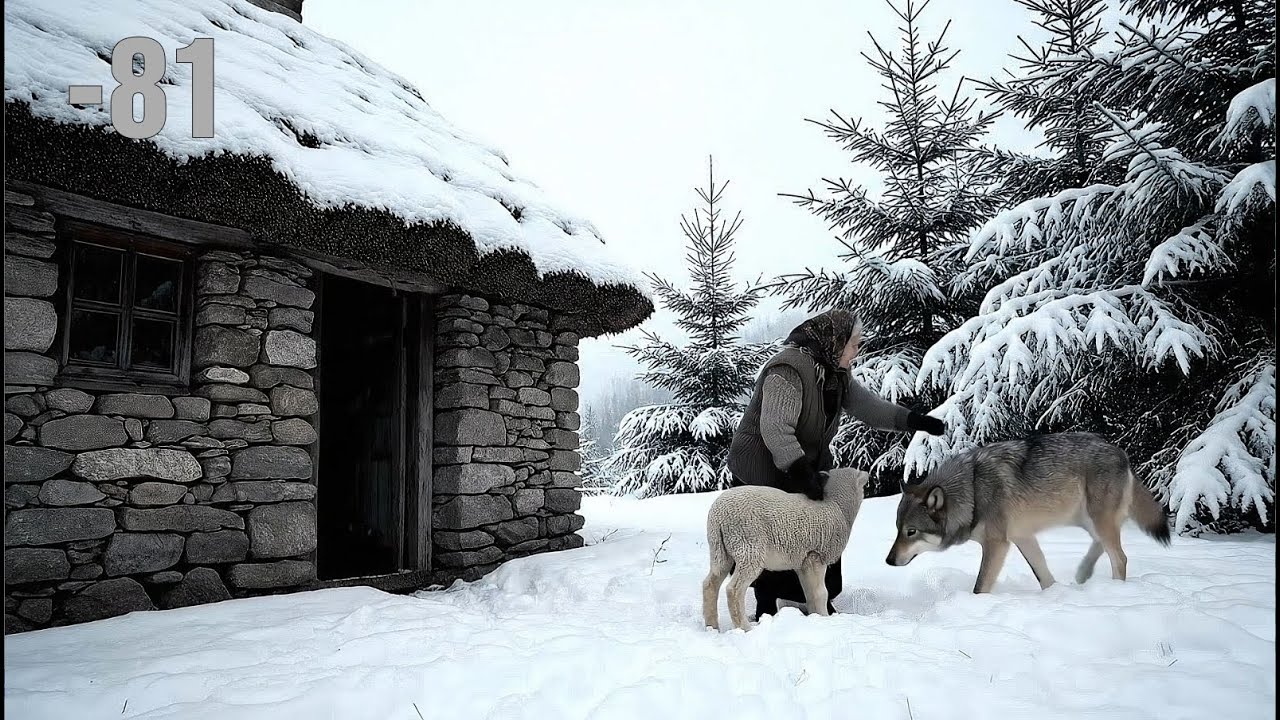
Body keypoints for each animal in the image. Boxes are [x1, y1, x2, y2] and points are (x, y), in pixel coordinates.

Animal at [702, 467, 871, 631]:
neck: (838, 507)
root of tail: (718, 515)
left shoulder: (804, 562)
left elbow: (809, 594)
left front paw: (814, 616)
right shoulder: (816, 554)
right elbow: (821, 593)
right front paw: (824, 617)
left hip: (721, 551)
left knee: (710, 584)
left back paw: (712, 626)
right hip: (749, 547)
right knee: (734, 590)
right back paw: (745, 627)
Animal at [885, 432, 1171, 594]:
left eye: (911, 532)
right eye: (897, 530)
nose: (888, 561)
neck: (972, 491)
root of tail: (1121, 453)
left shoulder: (997, 544)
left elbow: (980, 587)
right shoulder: (1022, 537)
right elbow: (1042, 574)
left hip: (1096, 518)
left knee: (1119, 557)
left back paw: (1113, 589)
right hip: (1086, 519)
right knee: (1103, 544)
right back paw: (1082, 573)